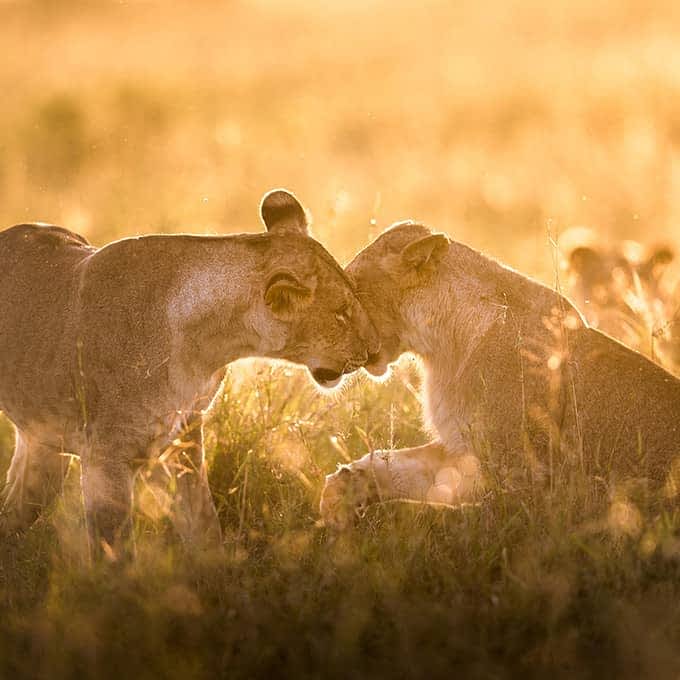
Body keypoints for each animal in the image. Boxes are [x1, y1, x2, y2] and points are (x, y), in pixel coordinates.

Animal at [0, 187, 380, 552]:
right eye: (341, 313)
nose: (374, 350)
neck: (207, 348)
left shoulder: (184, 439)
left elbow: (203, 523)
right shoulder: (104, 458)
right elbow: (115, 550)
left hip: (44, 449)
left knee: (12, 509)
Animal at [322, 223, 680, 532]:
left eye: (351, 287)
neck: (441, 348)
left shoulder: (528, 485)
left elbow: (453, 517)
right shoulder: (462, 449)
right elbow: (399, 465)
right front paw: (341, 491)